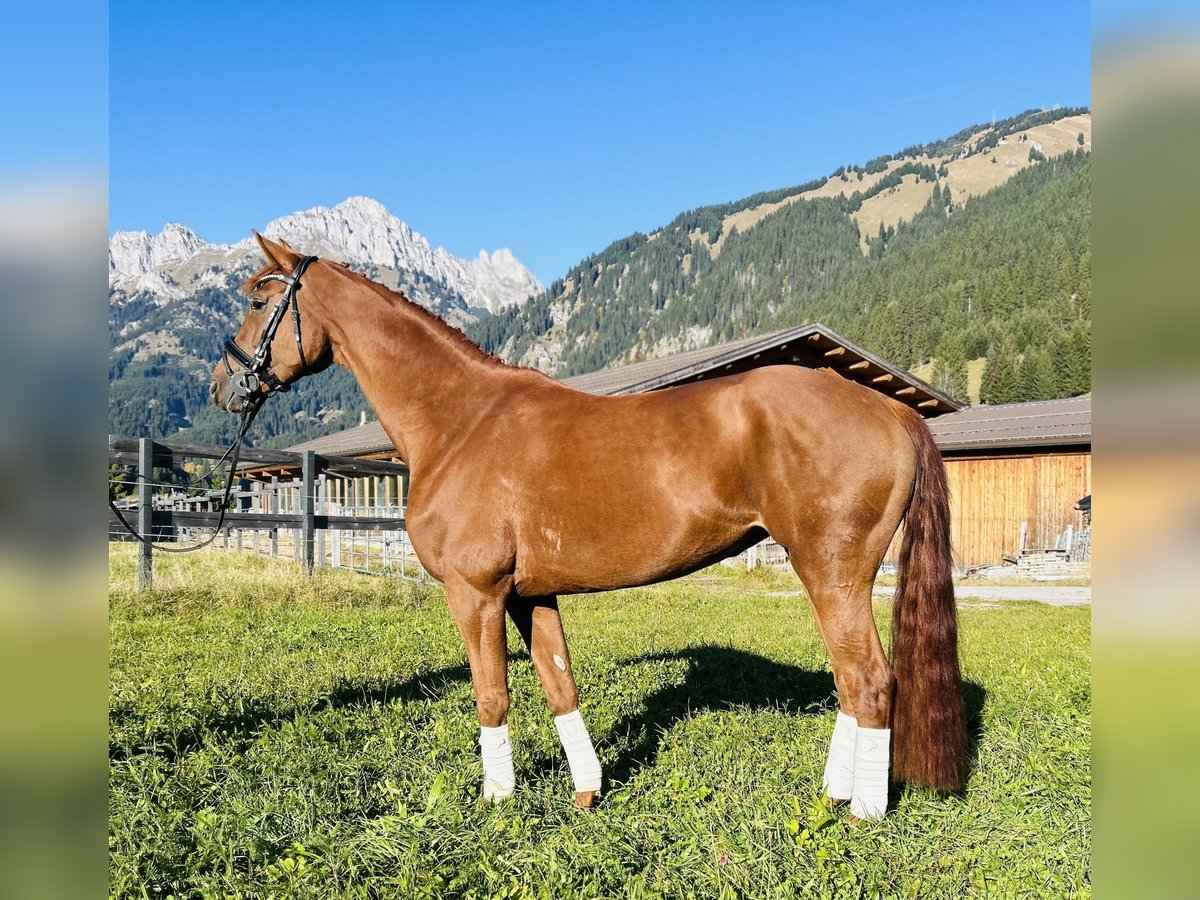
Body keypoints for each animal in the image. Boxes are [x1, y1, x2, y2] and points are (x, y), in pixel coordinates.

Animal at [210, 232, 965, 818]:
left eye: (258, 299)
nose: (222, 387)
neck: (460, 421)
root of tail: (886, 407)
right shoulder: (530, 595)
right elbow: (558, 684)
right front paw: (587, 792)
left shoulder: (475, 593)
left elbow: (492, 695)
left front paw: (498, 802)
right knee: (852, 683)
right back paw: (836, 794)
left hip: (831, 572)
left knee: (869, 680)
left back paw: (861, 810)